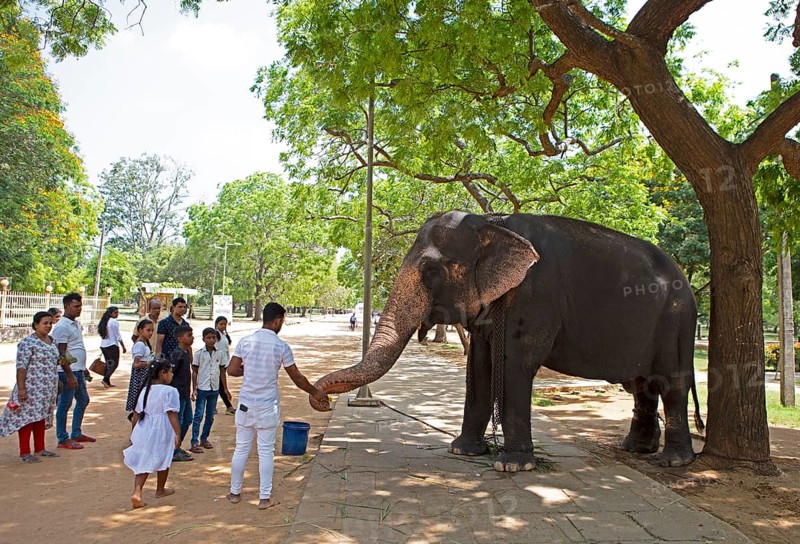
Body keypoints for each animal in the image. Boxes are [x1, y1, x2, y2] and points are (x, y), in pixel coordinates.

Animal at [310, 211, 703, 472]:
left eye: (431, 271)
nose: (320, 400)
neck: (493, 224)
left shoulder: (535, 296)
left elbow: (514, 365)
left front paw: (513, 466)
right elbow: (480, 368)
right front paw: (463, 452)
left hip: (678, 320)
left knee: (671, 385)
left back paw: (674, 461)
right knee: (642, 386)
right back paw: (636, 448)